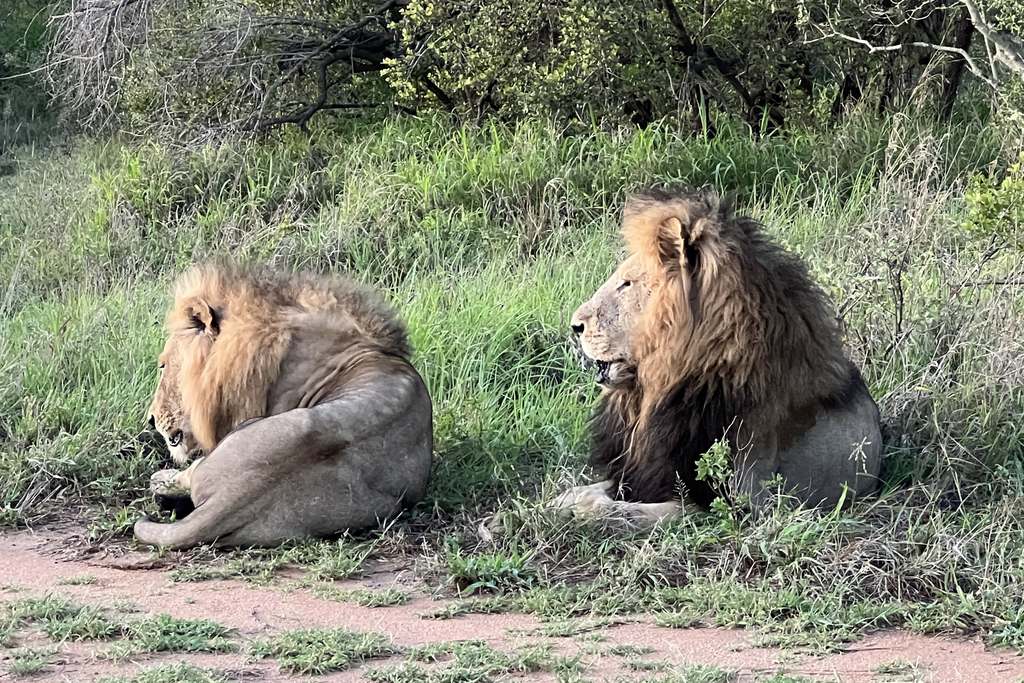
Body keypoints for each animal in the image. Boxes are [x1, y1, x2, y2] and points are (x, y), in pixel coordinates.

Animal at [555, 187, 882, 523]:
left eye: (626, 283)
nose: (574, 325)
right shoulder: (644, 469)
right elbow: (603, 486)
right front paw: (563, 498)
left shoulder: (738, 503)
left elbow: (632, 510)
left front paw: (584, 509)